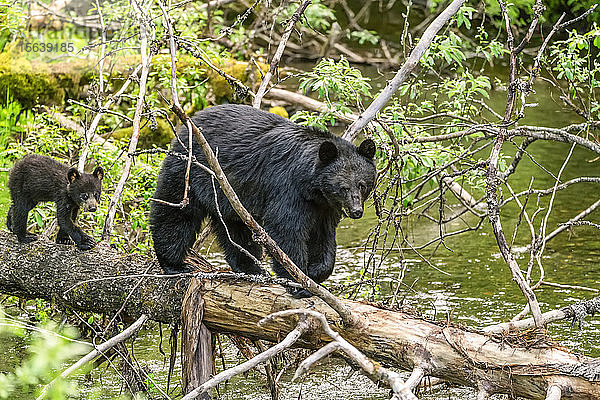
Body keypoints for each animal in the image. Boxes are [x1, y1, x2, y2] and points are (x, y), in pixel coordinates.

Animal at [150, 104, 376, 296]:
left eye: (362, 185)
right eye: (343, 187)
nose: (356, 211)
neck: (311, 186)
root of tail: (189, 123)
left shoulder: (324, 207)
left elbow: (323, 236)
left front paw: (315, 272)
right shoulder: (287, 188)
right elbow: (285, 230)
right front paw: (298, 282)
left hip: (229, 199)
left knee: (235, 231)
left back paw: (252, 269)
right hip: (188, 171)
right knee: (175, 214)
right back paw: (174, 264)